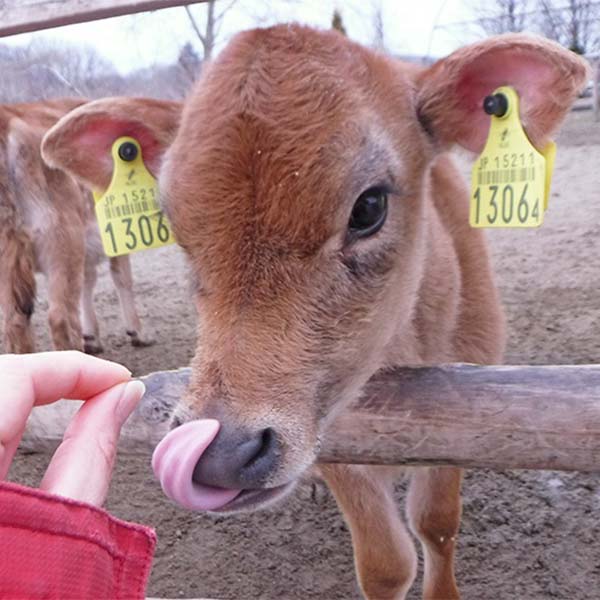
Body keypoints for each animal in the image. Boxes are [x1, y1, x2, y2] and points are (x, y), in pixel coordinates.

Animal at [1, 98, 155, 352]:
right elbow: (122, 278)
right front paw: (138, 333)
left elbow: (88, 282)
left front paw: (92, 336)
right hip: (63, 238)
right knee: (60, 318)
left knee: (14, 321)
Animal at [44, 29, 588, 600]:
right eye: (172, 224)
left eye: (369, 206)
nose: (223, 452)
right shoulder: (334, 428)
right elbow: (386, 562)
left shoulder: (466, 410)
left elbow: (437, 523)